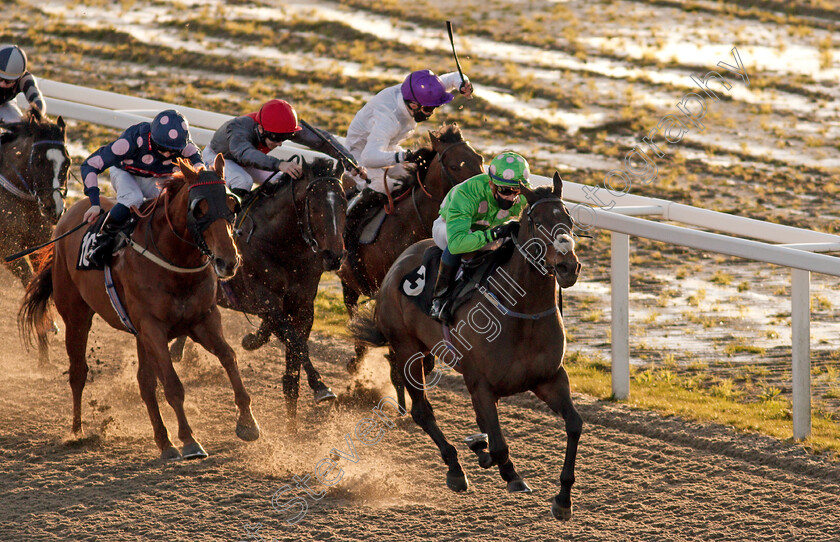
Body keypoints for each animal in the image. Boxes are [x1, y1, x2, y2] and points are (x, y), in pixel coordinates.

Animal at [20, 156, 260, 460]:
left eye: (232, 204)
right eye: (199, 208)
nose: (228, 261)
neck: (174, 262)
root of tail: (70, 214)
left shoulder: (202, 320)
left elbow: (229, 358)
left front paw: (248, 422)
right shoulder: (153, 327)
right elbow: (172, 384)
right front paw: (189, 440)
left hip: (138, 335)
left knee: (144, 383)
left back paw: (164, 443)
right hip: (76, 316)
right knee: (78, 373)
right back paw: (77, 432)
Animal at [172, 159, 346, 428]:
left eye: (344, 202)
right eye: (314, 205)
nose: (334, 256)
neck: (280, 245)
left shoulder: (304, 305)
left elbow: (293, 361)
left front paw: (292, 428)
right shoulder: (266, 301)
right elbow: (295, 342)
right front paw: (321, 387)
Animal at [352, 174, 580, 524]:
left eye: (568, 219)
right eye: (537, 222)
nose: (569, 267)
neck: (522, 313)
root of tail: (397, 264)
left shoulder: (550, 379)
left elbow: (574, 426)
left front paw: (563, 499)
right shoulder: (480, 385)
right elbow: (499, 446)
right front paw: (508, 473)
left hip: (427, 354)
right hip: (407, 350)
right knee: (422, 411)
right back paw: (456, 469)